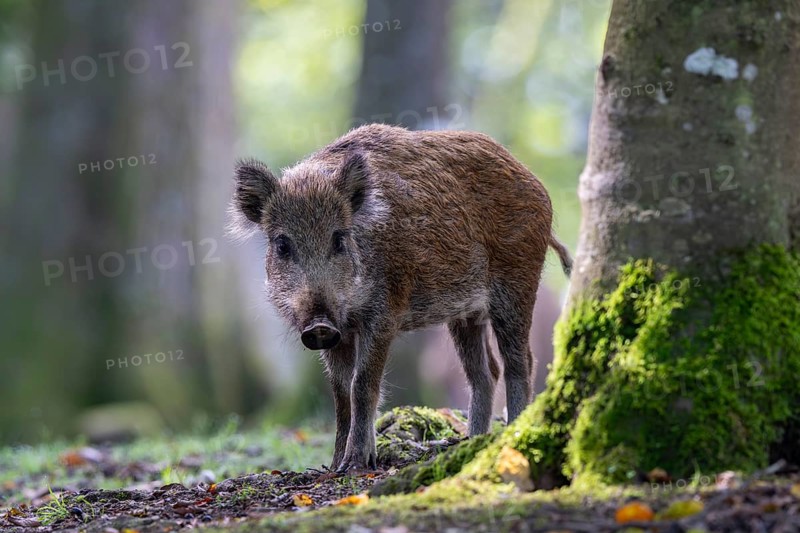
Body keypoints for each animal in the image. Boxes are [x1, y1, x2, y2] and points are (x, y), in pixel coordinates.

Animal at [231, 123, 572, 472]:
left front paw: (356, 464)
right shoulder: (340, 334)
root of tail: (535, 183)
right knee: (484, 372)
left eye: (339, 238)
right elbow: (340, 394)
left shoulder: (384, 314)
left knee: (521, 362)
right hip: (465, 312)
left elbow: (362, 384)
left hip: (518, 283)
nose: (318, 325)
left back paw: (510, 432)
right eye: (282, 244)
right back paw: (473, 441)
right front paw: (336, 465)